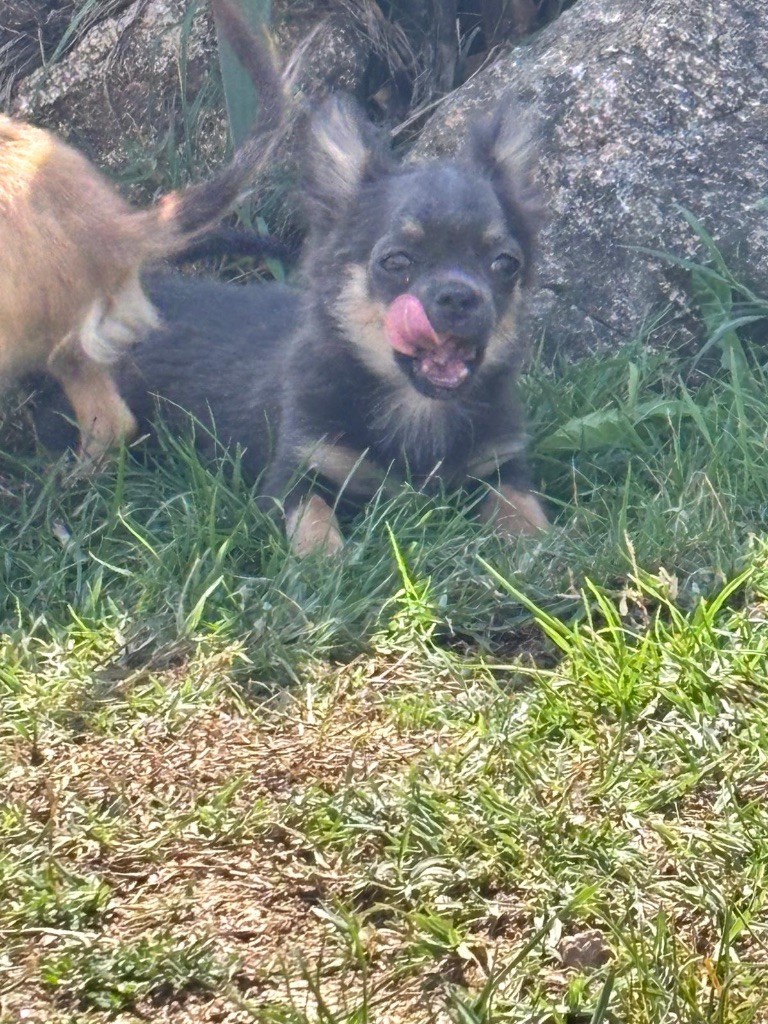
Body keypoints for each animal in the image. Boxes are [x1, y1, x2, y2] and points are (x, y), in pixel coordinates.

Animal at [35, 94, 549, 555]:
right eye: (396, 261)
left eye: (505, 264)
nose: (460, 296)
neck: (417, 411)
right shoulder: (297, 470)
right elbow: (312, 517)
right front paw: (325, 561)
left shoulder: (501, 465)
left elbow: (522, 505)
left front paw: (539, 548)